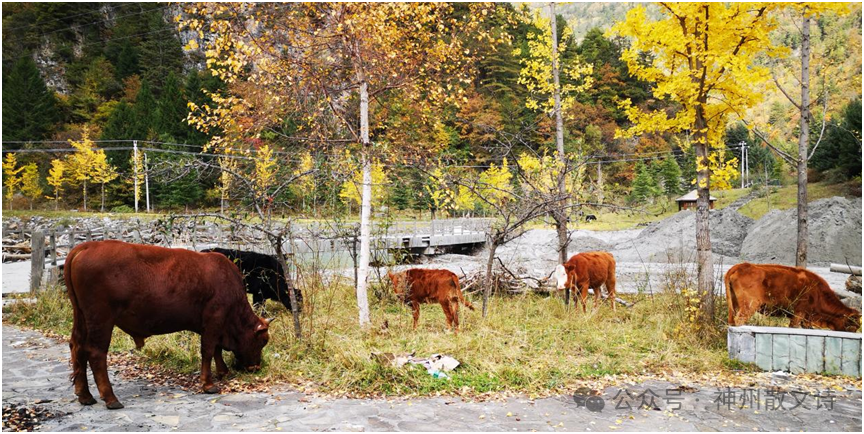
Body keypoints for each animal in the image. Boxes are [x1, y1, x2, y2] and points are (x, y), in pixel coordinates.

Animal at [64, 241, 272, 410]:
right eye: (262, 341)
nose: (255, 367)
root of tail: (87, 246)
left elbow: (217, 350)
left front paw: (222, 371)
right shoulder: (214, 320)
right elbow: (208, 350)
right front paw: (208, 384)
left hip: (81, 317)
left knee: (77, 347)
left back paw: (85, 395)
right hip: (101, 320)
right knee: (96, 354)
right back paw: (110, 398)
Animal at [724, 262, 860, 332]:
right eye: (853, 326)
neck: (817, 291)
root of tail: (741, 266)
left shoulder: (806, 319)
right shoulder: (798, 314)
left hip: (734, 305)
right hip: (749, 306)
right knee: (739, 320)